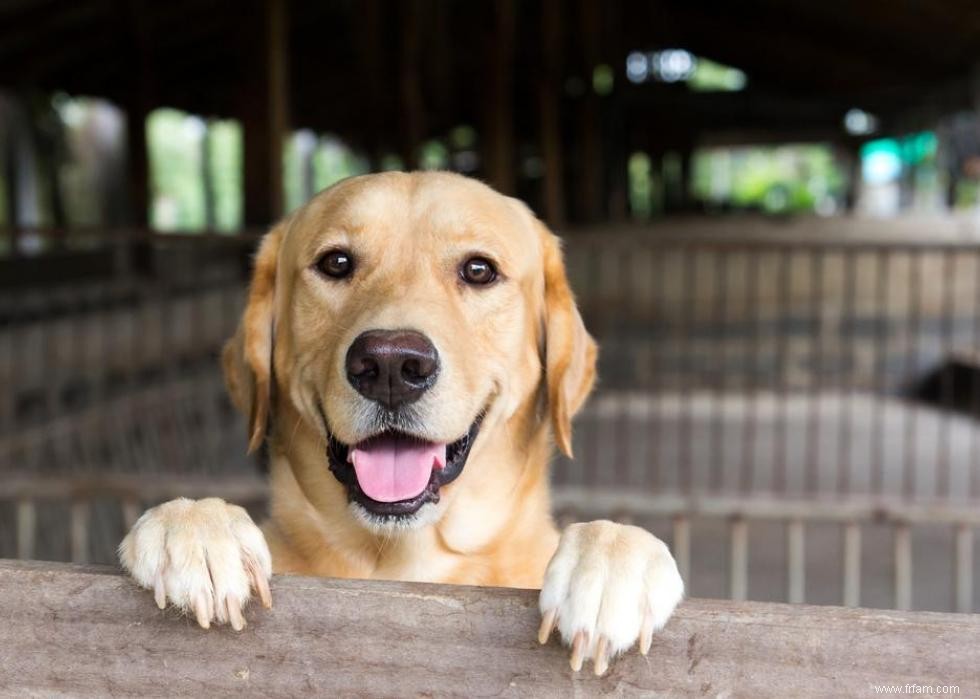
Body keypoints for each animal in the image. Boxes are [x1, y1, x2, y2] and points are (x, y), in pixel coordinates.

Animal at [118, 171, 680, 680]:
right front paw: (195, 528)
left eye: (479, 270)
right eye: (336, 262)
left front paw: (610, 566)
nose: (390, 365)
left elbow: (614, 540)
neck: (406, 562)